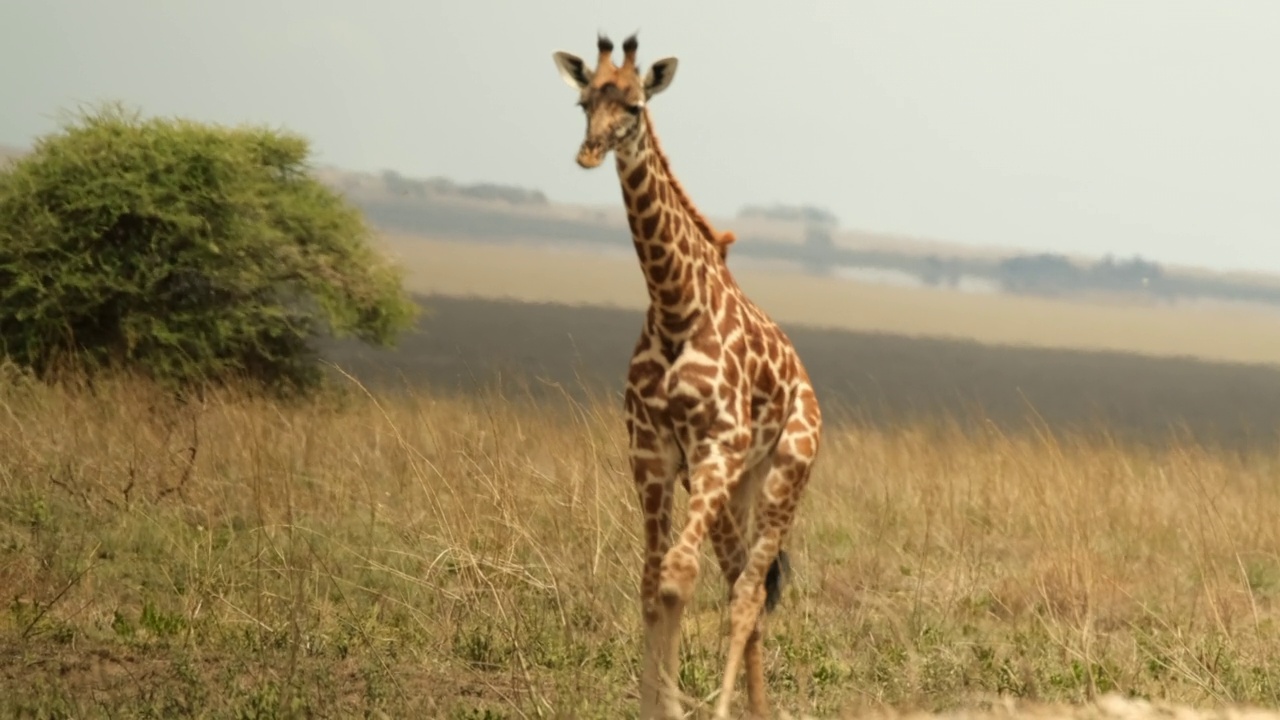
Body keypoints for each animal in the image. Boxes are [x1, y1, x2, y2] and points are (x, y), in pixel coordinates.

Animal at [550, 30, 819, 712]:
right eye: (585, 102)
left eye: (635, 105)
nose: (589, 153)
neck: (676, 305)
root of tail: (809, 391)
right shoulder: (651, 452)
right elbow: (651, 583)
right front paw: (653, 705)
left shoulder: (715, 444)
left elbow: (676, 577)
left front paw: (672, 707)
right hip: (731, 489)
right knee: (739, 580)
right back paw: (759, 711)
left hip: (782, 476)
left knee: (747, 591)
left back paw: (731, 710)